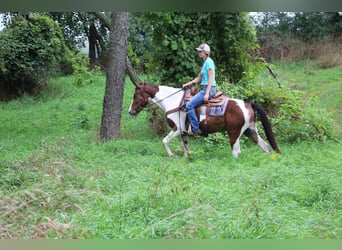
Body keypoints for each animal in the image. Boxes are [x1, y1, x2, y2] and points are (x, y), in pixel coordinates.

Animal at [128, 83, 280, 157]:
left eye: (135, 95)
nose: (130, 111)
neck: (174, 102)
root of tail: (248, 104)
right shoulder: (183, 132)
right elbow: (185, 147)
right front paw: (187, 157)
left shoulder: (177, 129)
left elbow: (164, 141)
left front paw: (171, 155)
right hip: (250, 130)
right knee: (265, 146)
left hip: (234, 132)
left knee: (236, 152)